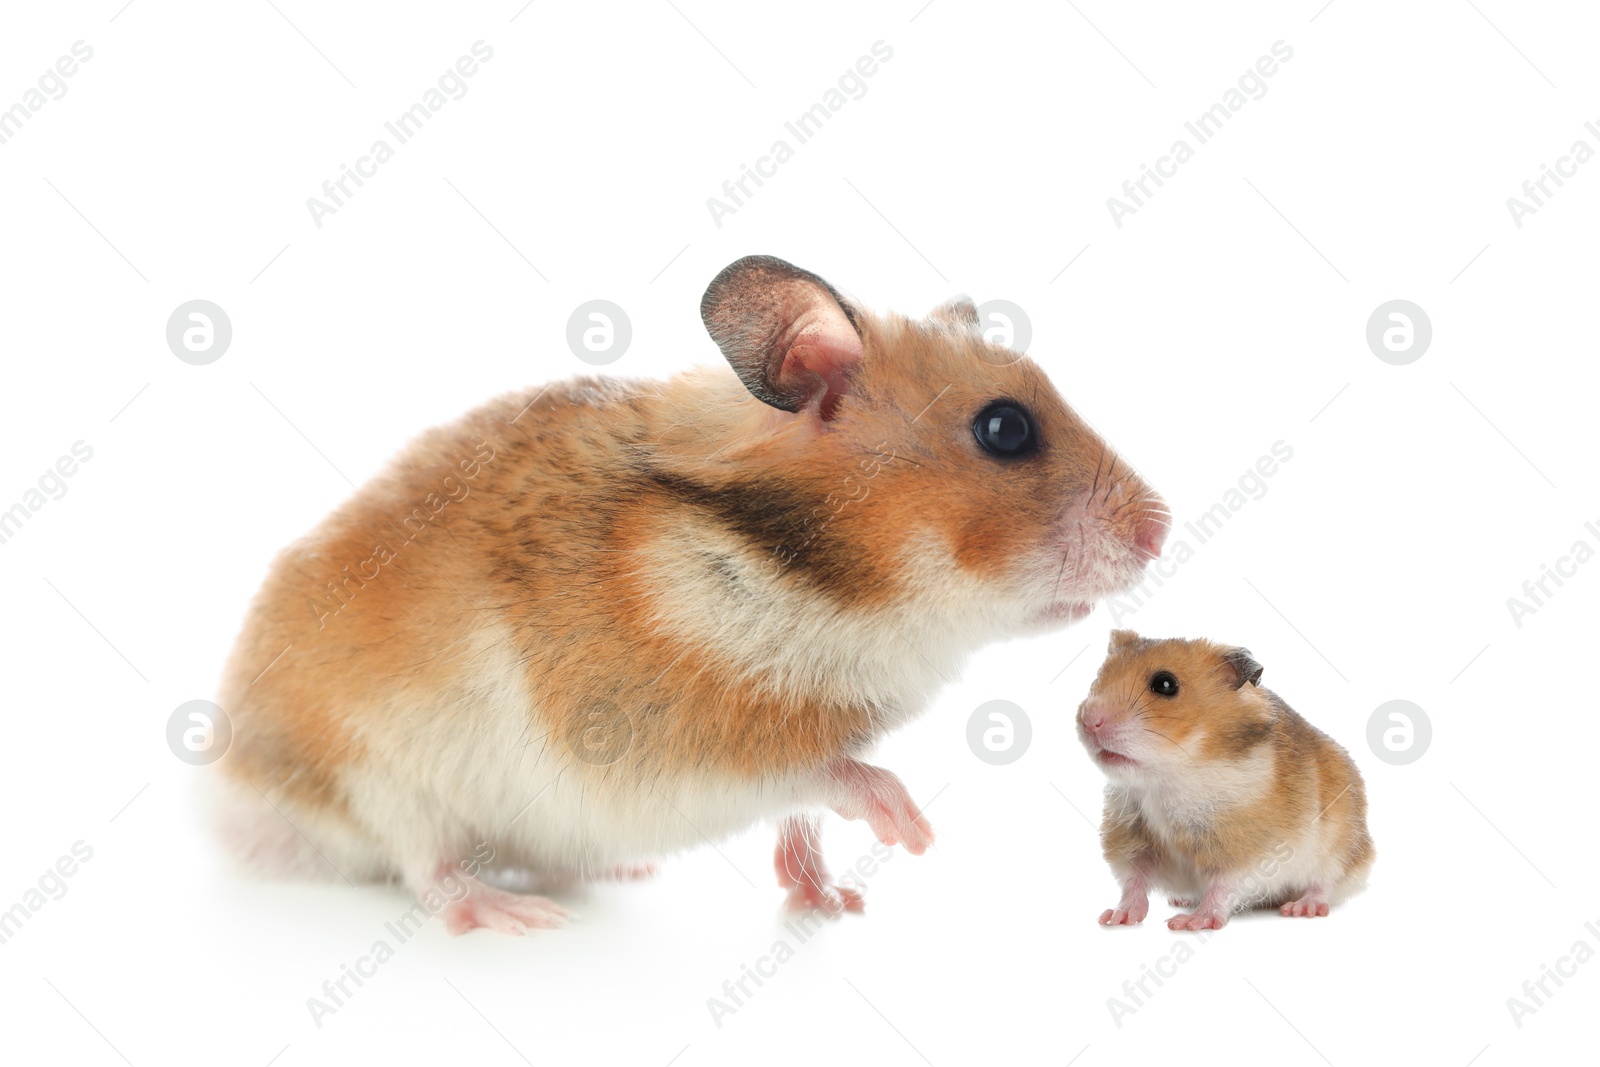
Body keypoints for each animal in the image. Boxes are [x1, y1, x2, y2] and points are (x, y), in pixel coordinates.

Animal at [209, 252, 1164, 934]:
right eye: (1005, 429)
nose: (1161, 531)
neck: (833, 585)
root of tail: (231, 796)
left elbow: (804, 812)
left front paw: (832, 901)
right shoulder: (670, 739)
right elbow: (826, 772)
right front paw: (911, 828)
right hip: (379, 778)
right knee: (429, 867)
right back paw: (516, 913)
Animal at [1081, 630, 1369, 927]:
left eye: (1165, 684)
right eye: (1099, 675)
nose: (1088, 722)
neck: (1167, 779)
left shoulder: (1247, 850)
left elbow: (1223, 886)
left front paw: (1189, 923)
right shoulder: (1132, 840)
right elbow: (1134, 881)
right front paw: (1115, 917)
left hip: (1340, 849)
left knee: (1325, 883)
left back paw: (1302, 908)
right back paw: (1181, 900)